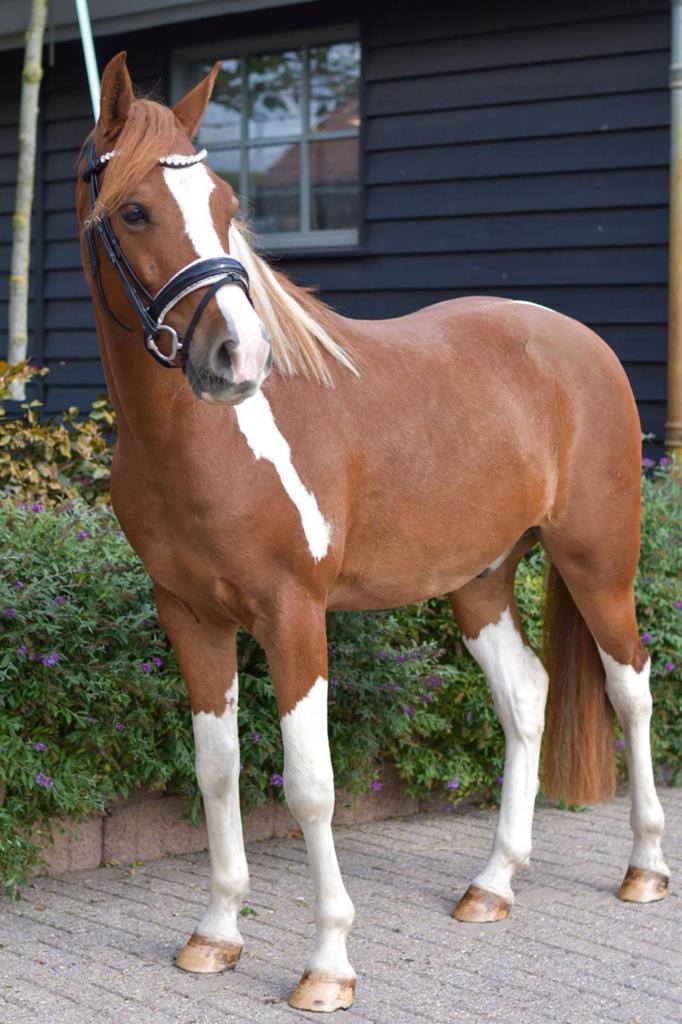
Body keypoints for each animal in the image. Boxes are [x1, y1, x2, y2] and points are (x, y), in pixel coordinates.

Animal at [75, 52, 669, 1013]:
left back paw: (644, 868)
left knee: (632, 688)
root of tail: (578, 341)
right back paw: (492, 883)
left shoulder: (293, 616)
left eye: (227, 204)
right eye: (134, 210)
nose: (238, 358)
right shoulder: (190, 616)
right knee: (527, 695)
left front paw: (326, 965)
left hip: (598, 564)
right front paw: (216, 933)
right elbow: (216, 770)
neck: (208, 439)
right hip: (479, 581)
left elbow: (311, 788)